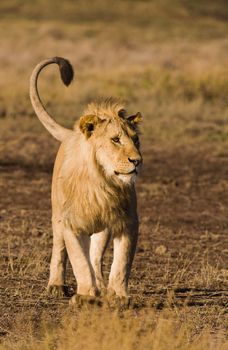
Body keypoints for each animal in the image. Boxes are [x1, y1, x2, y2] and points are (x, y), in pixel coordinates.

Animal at [29, 57, 142, 304]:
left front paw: (118, 296)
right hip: (57, 214)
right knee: (60, 249)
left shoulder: (127, 222)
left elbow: (121, 264)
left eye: (136, 139)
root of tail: (71, 134)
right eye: (116, 140)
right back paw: (57, 285)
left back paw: (102, 286)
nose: (137, 161)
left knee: (96, 255)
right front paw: (86, 295)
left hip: (103, 228)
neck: (102, 183)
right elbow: (79, 261)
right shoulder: (71, 223)